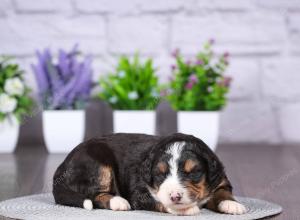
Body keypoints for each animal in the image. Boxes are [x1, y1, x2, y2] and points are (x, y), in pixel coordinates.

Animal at [53, 132, 246, 215]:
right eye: (160, 174)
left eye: (194, 172)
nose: (175, 196)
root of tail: (61, 169)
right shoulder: (140, 192)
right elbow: (158, 201)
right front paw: (185, 209)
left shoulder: (220, 180)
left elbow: (223, 192)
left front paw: (232, 205)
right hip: (98, 163)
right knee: (94, 194)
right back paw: (118, 202)